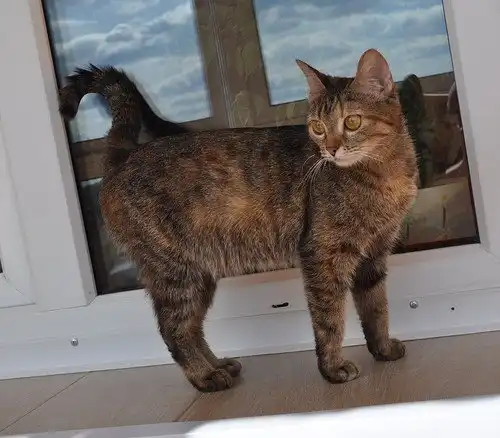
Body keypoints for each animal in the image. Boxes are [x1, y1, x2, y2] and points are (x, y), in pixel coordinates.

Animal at [59, 49, 418, 392]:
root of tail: (123, 154)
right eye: (318, 127)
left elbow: (377, 309)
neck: (385, 176)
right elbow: (329, 322)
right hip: (177, 274)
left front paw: (383, 350)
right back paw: (205, 377)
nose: (330, 150)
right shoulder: (323, 257)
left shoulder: (374, 257)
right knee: (173, 329)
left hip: (199, 276)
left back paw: (218, 365)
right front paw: (332, 369)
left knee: (191, 328)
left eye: (352, 122)